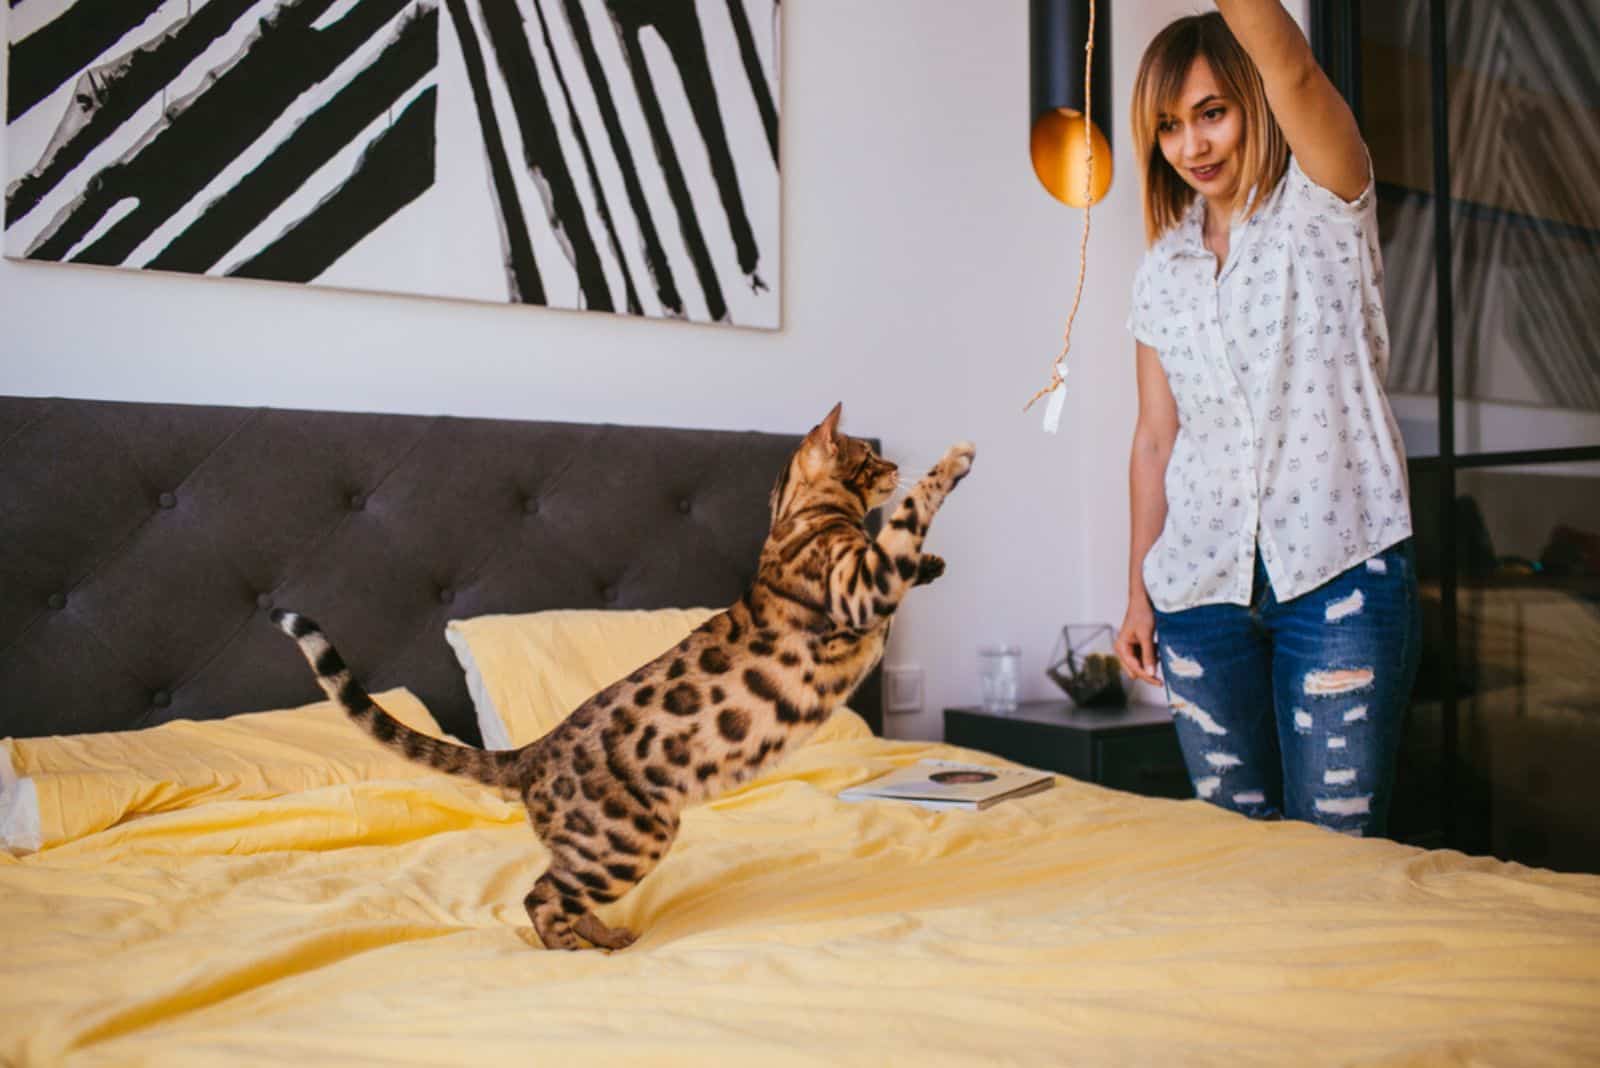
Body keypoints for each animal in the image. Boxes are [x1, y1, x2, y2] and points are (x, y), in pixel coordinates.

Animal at [272, 402, 972, 952]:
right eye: (867, 455)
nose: (892, 466)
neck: (797, 516)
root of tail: (529, 753)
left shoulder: (869, 583)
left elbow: (903, 549)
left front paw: (934, 562)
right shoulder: (858, 589)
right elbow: (904, 524)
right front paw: (953, 461)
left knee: (560, 893)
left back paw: (608, 937)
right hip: (625, 839)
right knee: (541, 898)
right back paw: (571, 952)